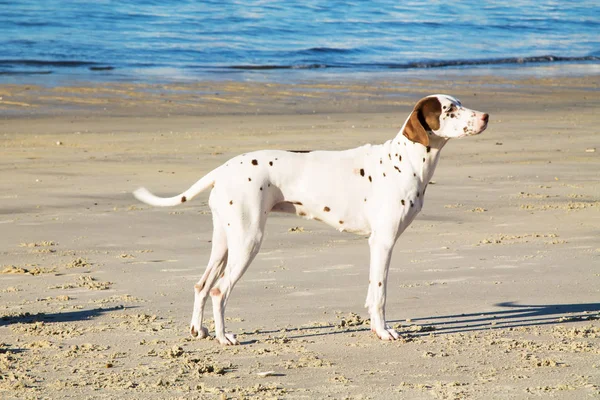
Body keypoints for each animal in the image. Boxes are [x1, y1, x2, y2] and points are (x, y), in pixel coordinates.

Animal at [135, 94, 488, 344]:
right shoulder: (383, 242)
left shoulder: (378, 244)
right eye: (449, 110)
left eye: (459, 104)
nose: (486, 116)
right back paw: (224, 337)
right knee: (220, 290)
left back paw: (199, 330)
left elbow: (371, 294)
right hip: (248, 241)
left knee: (202, 285)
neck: (404, 160)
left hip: (225, 242)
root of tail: (221, 170)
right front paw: (384, 331)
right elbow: (380, 294)